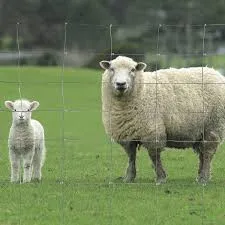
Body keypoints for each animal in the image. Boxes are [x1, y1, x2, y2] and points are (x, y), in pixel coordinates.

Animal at [100, 55, 225, 185]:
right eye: (112, 69)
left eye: (133, 69)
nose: (121, 84)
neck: (142, 91)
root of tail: (216, 73)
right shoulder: (127, 135)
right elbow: (131, 156)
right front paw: (129, 177)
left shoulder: (152, 132)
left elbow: (154, 156)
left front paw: (161, 178)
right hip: (201, 131)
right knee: (202, 154)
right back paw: (201, 176)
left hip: (214, 126)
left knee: (208, 153)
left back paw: (204, 178)